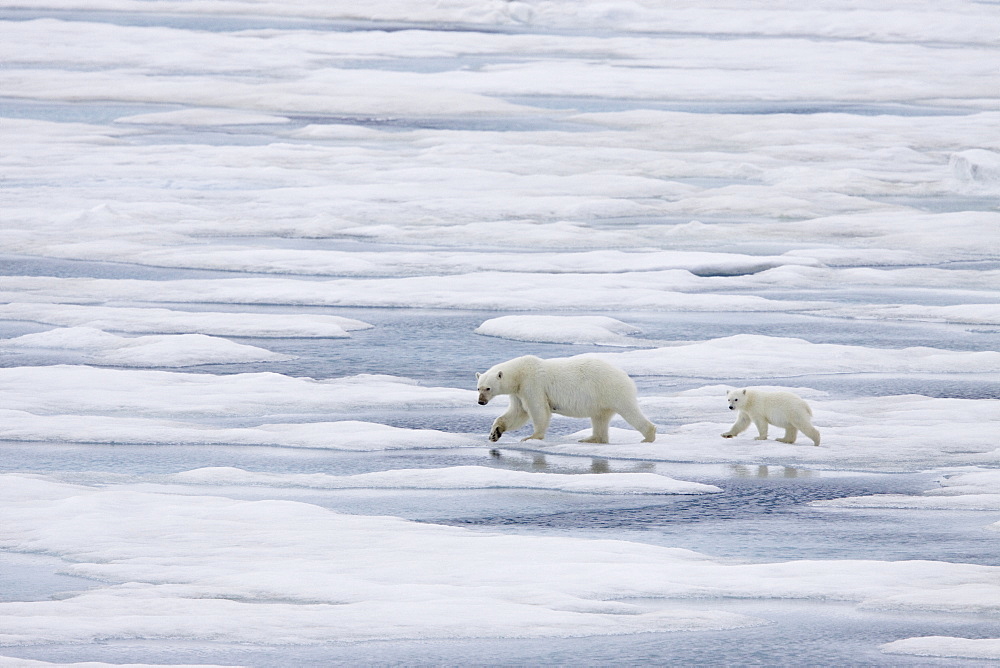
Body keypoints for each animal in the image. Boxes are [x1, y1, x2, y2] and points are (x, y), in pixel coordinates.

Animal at [476, 354, 656, 444]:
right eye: (478, 388)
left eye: (488, 388)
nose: (480, 402)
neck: (519, 373)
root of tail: (626, 377)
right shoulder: (518, 392)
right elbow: (516, 413)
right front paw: (494, 433)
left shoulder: (533, 384)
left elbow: (538, 410)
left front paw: (531, 437)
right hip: (601, 400)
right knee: (599, 418)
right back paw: (590, 439)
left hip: (612, 390)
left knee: (630, 412)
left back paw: (648, 436)